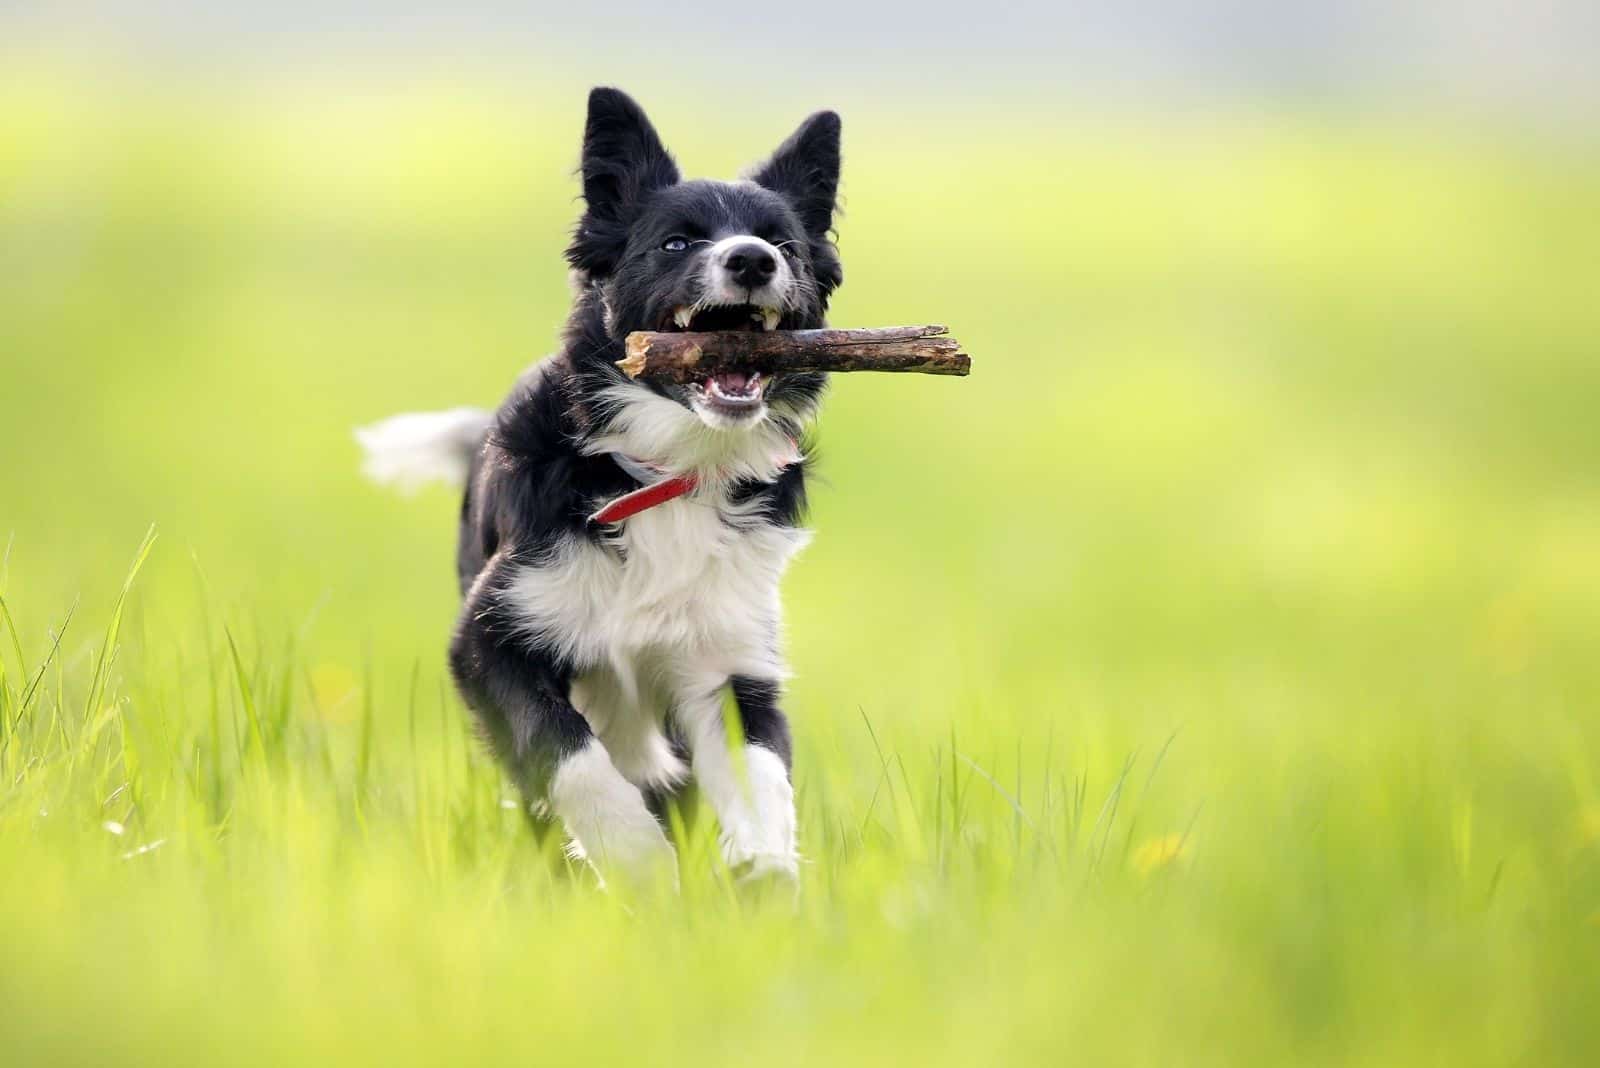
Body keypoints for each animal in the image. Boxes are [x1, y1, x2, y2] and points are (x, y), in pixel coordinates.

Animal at [356, 87, 844, 882]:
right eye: (676, 243)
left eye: (787, 246)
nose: (752, 259)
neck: (664, 472)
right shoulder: (492, 638)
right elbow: (567, 753)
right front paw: (637, 858)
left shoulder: (728, 655)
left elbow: (762, 769)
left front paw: (765, 865)